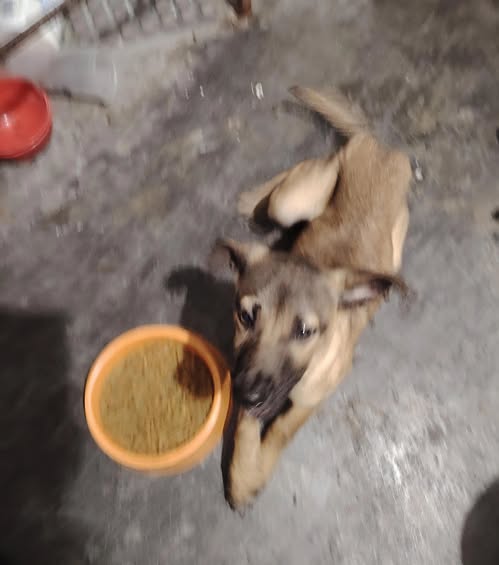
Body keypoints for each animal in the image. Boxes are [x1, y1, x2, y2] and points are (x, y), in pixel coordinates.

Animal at [212, 86, 413, 510]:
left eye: (305, 331)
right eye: (246, 317)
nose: (246, 393)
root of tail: (379, 146)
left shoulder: (309, 396)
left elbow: (281, 429)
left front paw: (254, 470)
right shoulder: (249, 369)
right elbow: (246, 429)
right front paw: (242, 473)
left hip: (395, 244)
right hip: (293, 201)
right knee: (297, 177)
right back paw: (253, 198)